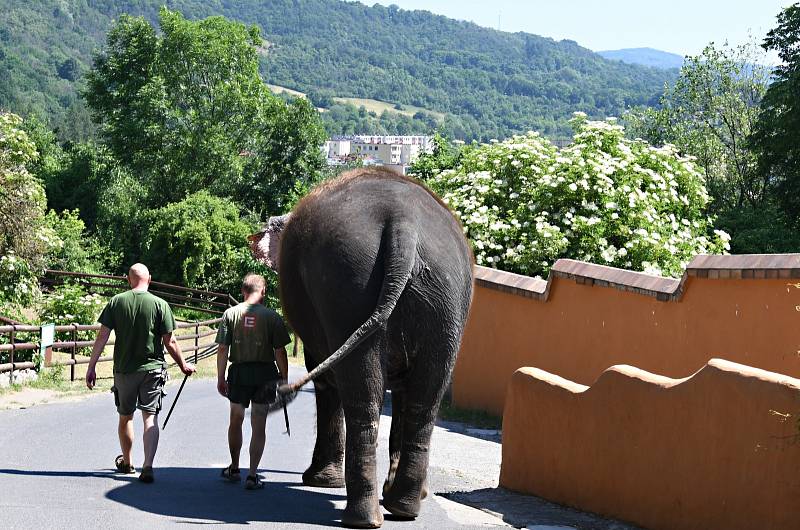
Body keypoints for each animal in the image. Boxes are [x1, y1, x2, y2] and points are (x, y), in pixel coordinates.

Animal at [250, 167, 472, 524]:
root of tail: (404, 225)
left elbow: (323, 376)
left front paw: (319, 482)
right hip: (441, 299)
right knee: (424, 399)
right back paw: (403, 508)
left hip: (349, 287)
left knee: (362, 393)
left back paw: (363, 517)